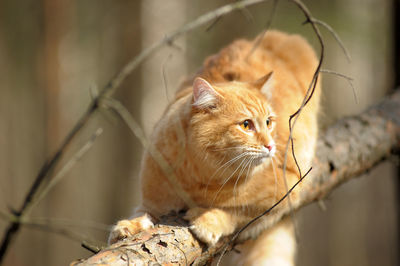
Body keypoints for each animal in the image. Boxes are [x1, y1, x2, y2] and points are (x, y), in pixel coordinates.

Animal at [108, 30, 318, 264]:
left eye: (268, 122)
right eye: (246, 125)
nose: (271, 145)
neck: (198, 179)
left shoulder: (285, 193)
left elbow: (236, 213)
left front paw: (207, 220)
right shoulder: (152, 202)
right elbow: (142, 214)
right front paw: (129, 226)